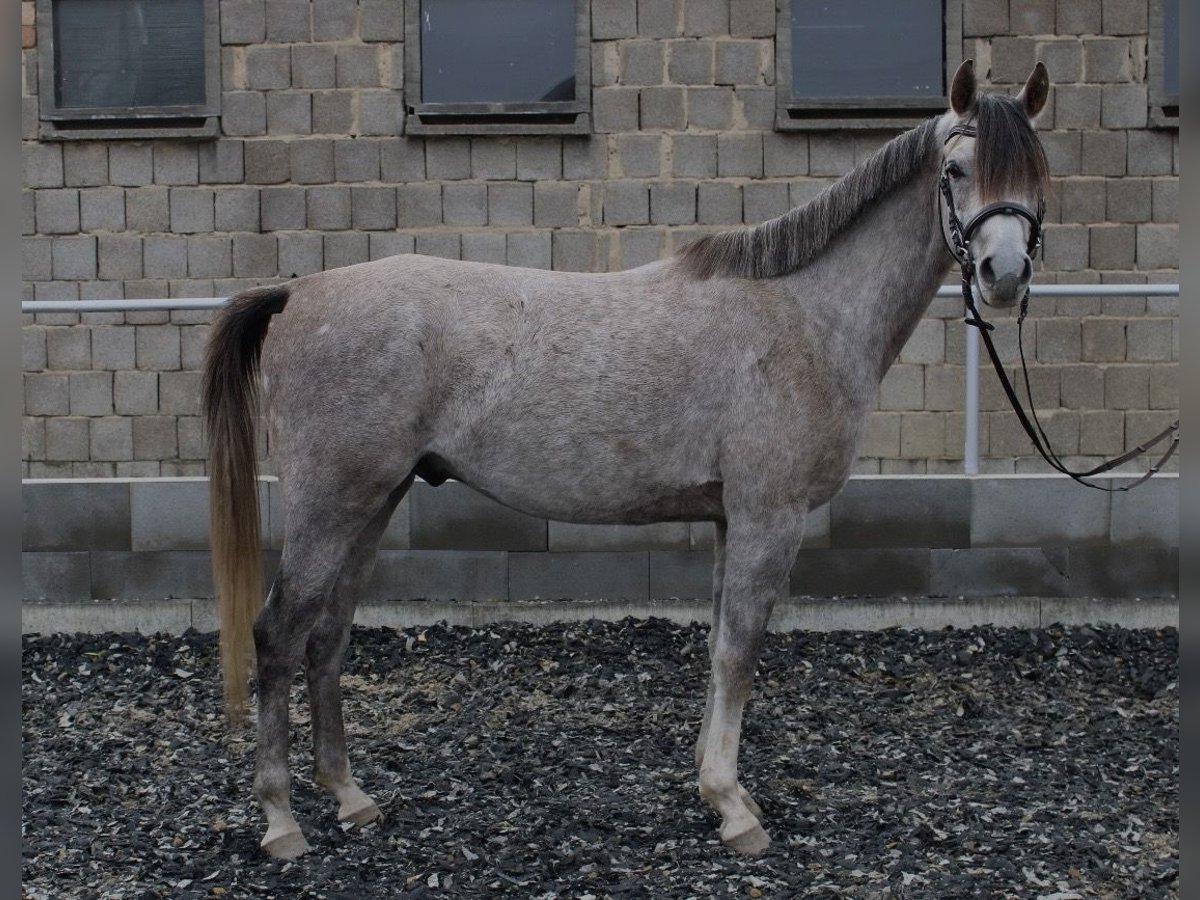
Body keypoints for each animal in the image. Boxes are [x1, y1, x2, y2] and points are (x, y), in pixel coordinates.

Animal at [203, 60, 1050, 859]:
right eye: (955, 169)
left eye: (1039, 169)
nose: (1004, 276)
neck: (804, 313)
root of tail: (298, 291)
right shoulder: (769, 517)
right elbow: (740, 653)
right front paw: (734, 808)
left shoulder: (730, 519)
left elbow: (717, 646)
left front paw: (715, 787)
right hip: (332, 503)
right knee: (279, 634)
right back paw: (281, 821)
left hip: (373, 502)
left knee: (327, 636)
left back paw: (350, 797)